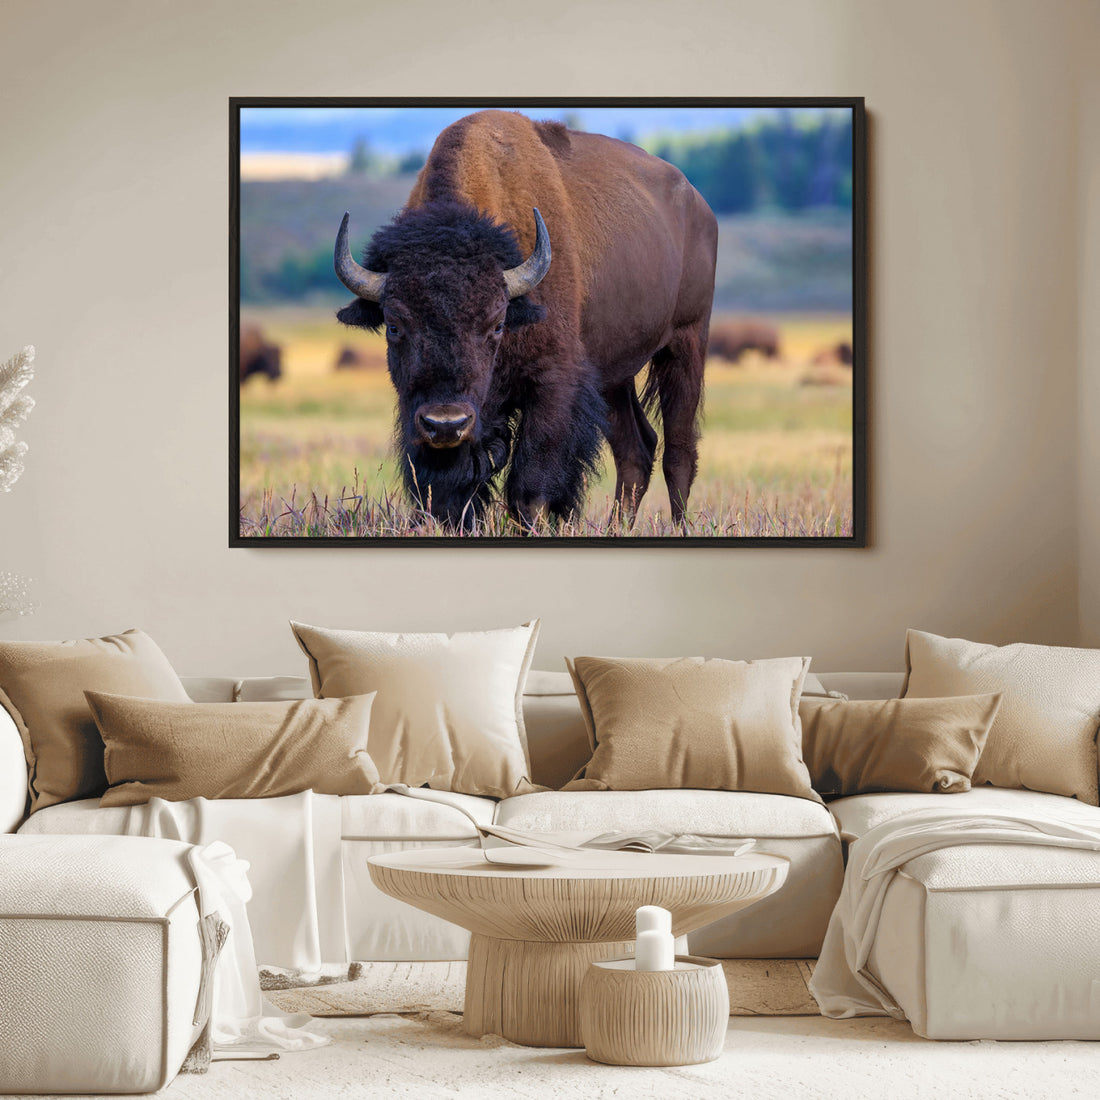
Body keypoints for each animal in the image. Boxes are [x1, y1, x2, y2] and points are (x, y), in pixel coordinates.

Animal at [334, 110, 717, 530]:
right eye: (394, 326)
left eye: (496, 324)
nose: (446, 423)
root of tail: (698, 205)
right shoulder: (422, 412)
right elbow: (447, 491)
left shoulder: (551, 385)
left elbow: (529, 485)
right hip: (614, 376)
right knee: (636, 450)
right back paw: (617, 526)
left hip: (685, 343)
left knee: (678, 453)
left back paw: (678, 525)